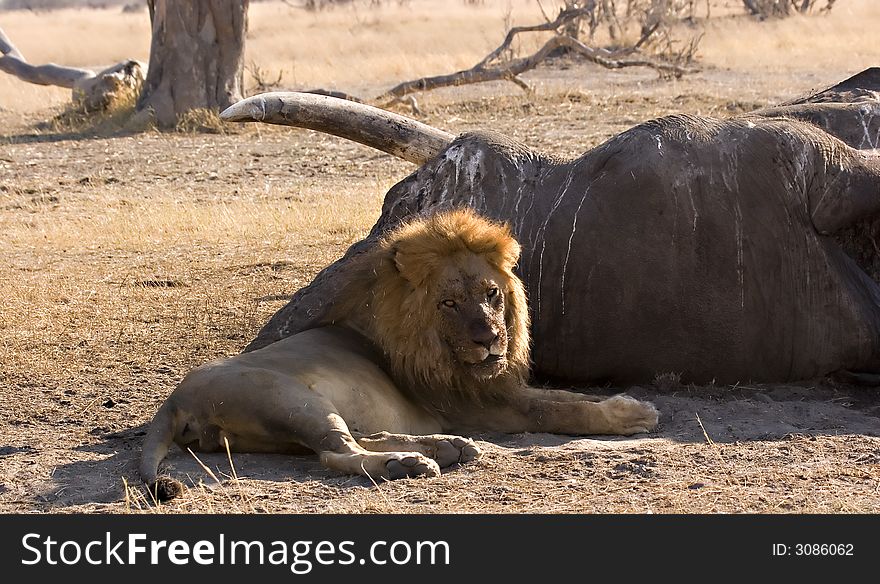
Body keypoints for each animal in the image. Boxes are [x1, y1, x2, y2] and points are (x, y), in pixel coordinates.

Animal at [139, 205, 660, 498]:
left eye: (491, 294)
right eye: (449, 303)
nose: (489, 338)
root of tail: (175, 400)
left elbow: (566, 397)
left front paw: (622, 403)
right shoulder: (480, 404)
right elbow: (559, 409)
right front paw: (630, 415)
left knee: (352, 438)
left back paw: (443, 448)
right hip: (293, 399)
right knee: (336, 453)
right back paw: (408, 463)